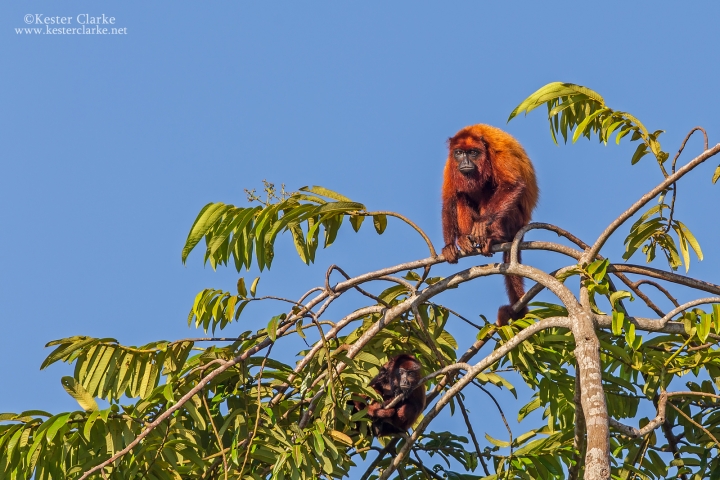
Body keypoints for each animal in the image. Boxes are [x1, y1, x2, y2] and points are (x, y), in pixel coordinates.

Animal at [442, 124, 536, 326]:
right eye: (459, 153)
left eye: (473, 152)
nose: (465, 162)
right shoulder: (450, 164)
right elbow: (449, 199)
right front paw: (449, 245)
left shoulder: (499, 152)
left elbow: (512, 185)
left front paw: (483, 223)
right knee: (461, 195)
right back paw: (464, 239)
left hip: (515, 220)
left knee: (490, 188)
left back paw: (495, 237)